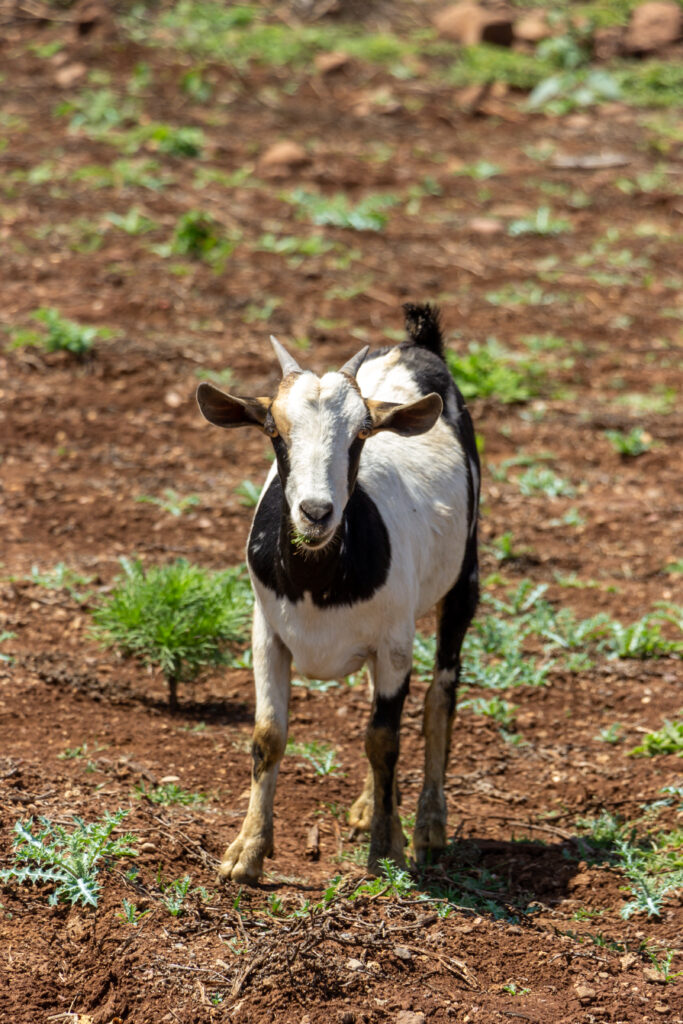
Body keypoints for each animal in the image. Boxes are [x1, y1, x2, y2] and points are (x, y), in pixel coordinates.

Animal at [197, 301, 481, 880]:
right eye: (274, 431)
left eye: (361, 435)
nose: (316, 512)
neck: (317, 580)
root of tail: (416, 345)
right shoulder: (267, 634)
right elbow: (268, 735)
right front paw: (246, 853)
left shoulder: (395, 644)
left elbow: (383, 738)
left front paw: (387, 849)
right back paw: (371, 807)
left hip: (464, 574)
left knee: (440, 698)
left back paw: (428, 826)